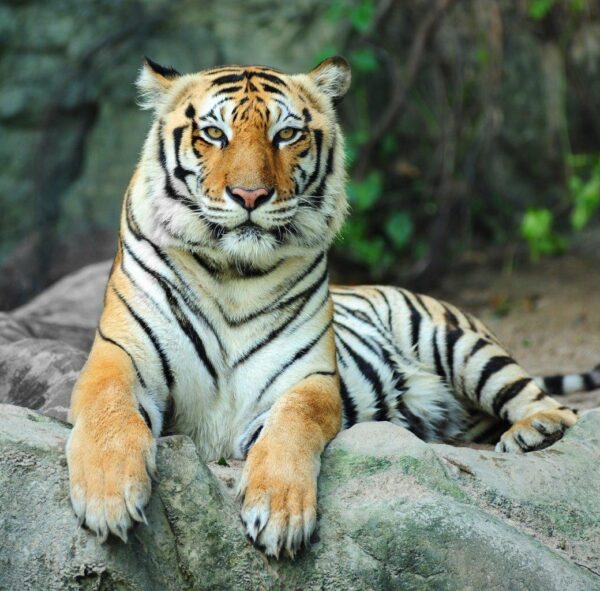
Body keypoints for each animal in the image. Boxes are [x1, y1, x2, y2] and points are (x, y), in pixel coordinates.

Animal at [63, 55, 596, 560]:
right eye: (214, 133)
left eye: (286, 134)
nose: (251, 195)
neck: (234, 274)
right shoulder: (119, 355)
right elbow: (109, 409)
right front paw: (108, 498)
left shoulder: (308, 378)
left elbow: (291, 427)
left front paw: (279, 513)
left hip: (457, 342)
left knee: (554, 405)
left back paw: (535, 431)